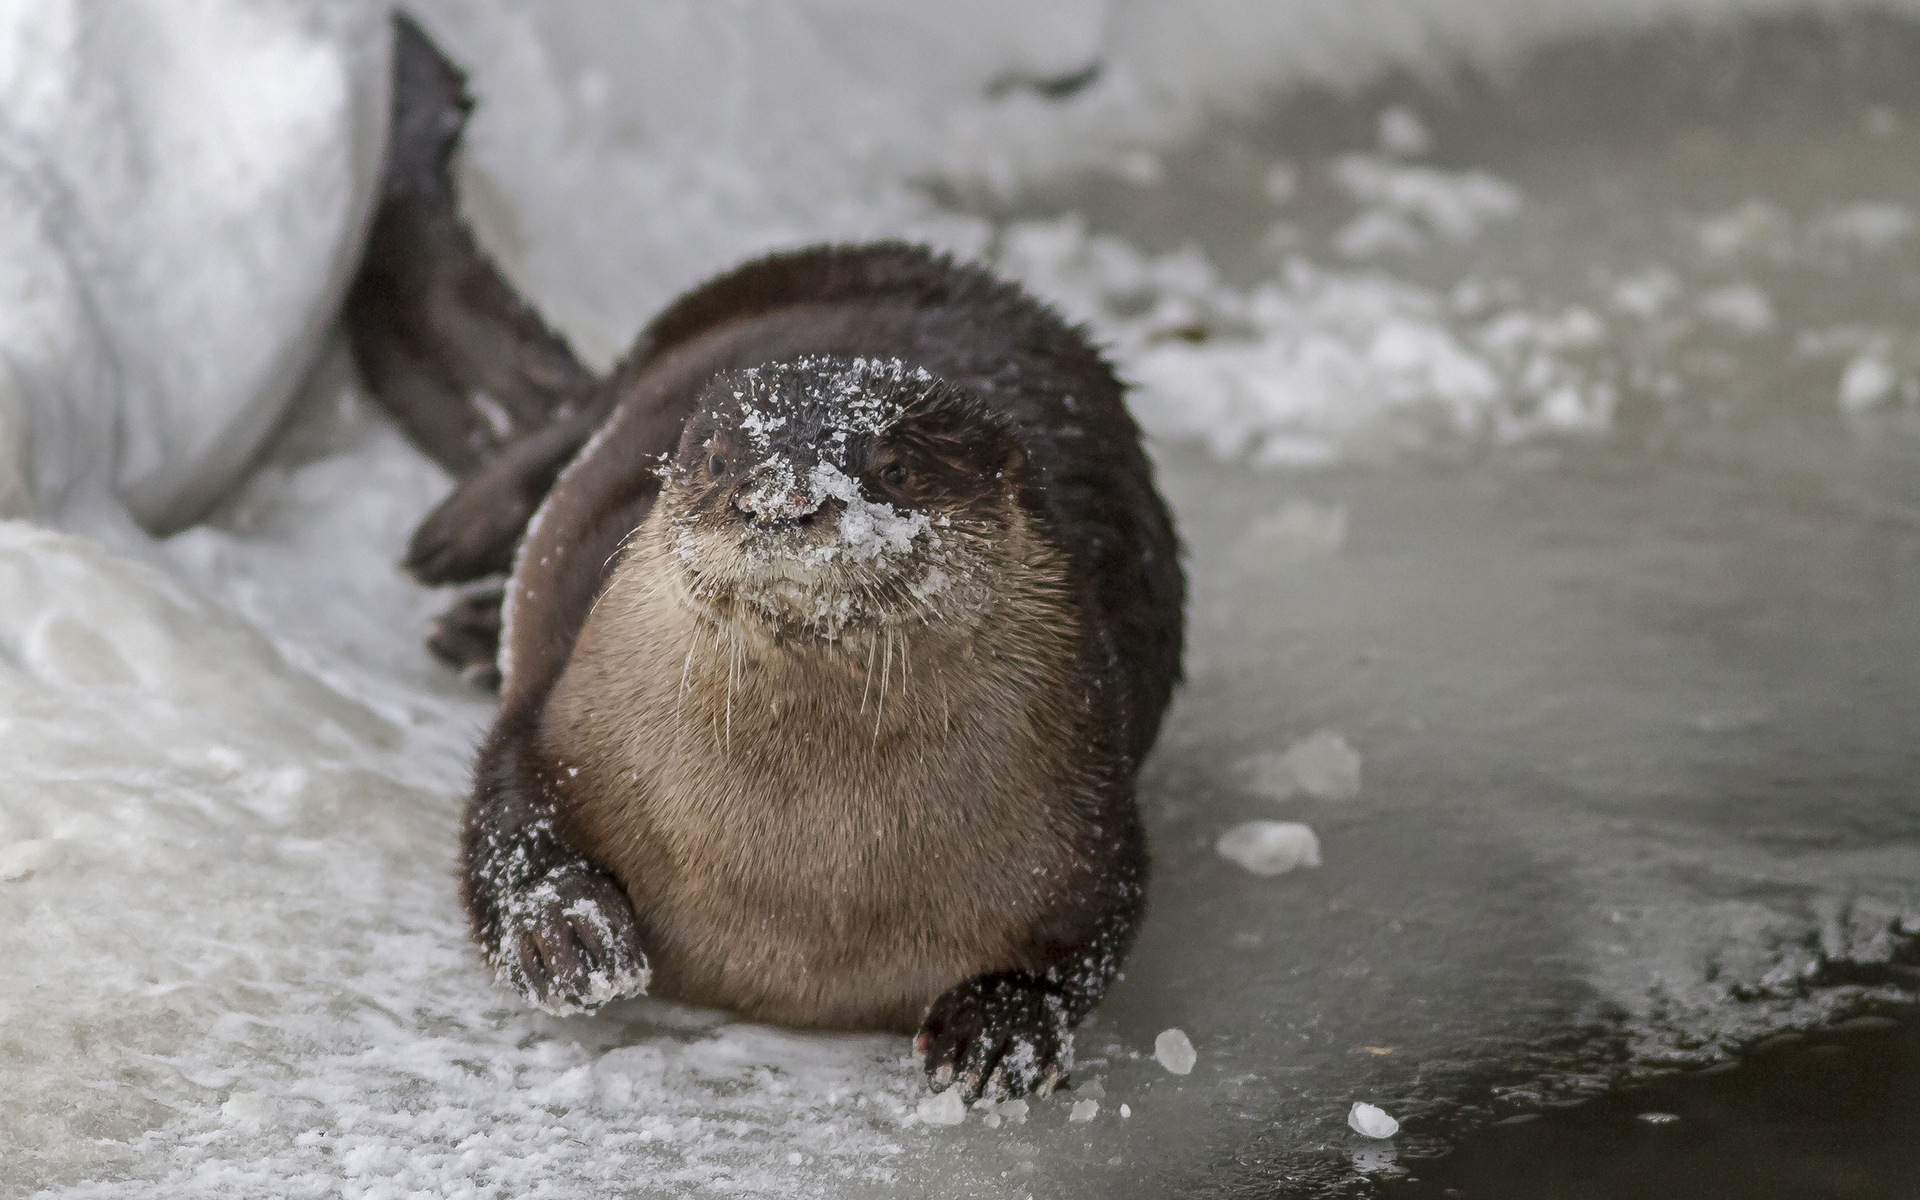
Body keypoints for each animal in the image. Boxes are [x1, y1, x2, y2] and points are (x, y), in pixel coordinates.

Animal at [347, 16, 1183, 1101]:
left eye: (893, 464)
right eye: (715, 458)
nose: (779, 494)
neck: (797, 904)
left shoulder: (1088, 817)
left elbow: (1087, 947)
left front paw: (1002, 1028)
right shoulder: (562, 723)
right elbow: (501, 818)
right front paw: (568, 935)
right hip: (699, 313)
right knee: (566, 420)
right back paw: (456, 550)